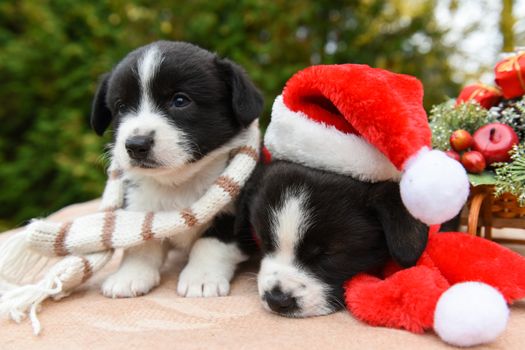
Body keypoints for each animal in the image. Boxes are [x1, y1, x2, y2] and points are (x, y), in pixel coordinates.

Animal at [90, 40, 264, 298]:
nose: (136, 145)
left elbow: (211, 242)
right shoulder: (139, 205)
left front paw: (201, 279)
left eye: (180, 101)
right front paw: (130, 275)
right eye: (121, 107)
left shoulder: (235, 215)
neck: (177, 182)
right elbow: (141, 242)